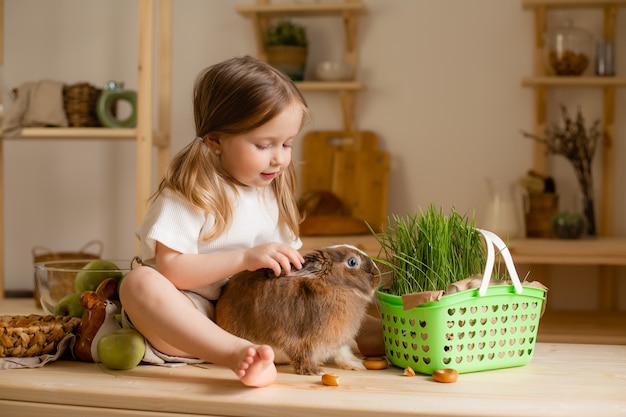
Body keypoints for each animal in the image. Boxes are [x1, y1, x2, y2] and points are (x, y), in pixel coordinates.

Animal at [214, 244, 380, 374]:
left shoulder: (337, 341)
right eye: (352, 262)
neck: (333, 288)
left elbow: (343, 353)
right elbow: (300, 353)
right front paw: (313, 371)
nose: (377, 274)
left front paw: (356, 365)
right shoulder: (294, 337)